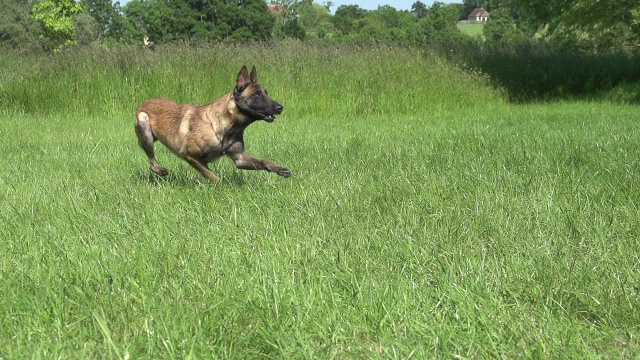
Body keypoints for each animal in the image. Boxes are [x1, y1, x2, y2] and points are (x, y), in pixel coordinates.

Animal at [135, 65, 290, 180]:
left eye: (266, 93)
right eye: (257, 95)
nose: (280, 107)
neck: (226, 126)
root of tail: (145, 102)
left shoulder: (240, 158)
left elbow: (264, 161)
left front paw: (279, 169)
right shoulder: (189, 156)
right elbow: (212, 176)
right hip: (144, 125)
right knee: (152, 162)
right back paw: (160, 170)